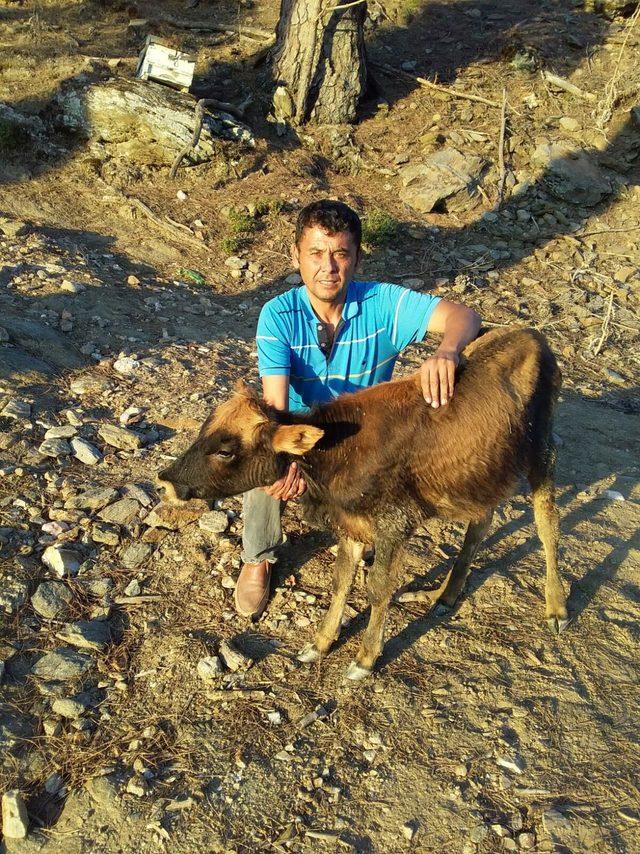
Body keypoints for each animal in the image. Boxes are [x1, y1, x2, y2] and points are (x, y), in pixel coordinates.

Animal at [160, 328, 568, 684]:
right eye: (203, 430)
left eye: (226, 451)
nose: (166, 480)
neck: (335, 455)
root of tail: (530, 333)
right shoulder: (351, 524)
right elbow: (341, 580)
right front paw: (320, 642)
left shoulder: (394, 524)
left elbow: (377, 588)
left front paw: (365, 658)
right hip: (480, 472)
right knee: (480, 525)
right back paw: (444, 595)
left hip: (542, 450)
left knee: (547, 522)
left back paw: (556, 607)